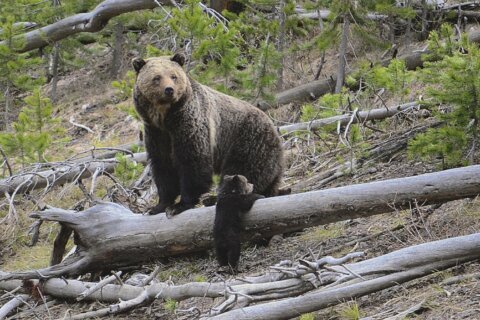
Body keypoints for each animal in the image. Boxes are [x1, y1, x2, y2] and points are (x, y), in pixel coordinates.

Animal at [132, 53, 284, 216]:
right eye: (157, 77)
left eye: (173, 76)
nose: (169, 90)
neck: (165, 117)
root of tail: (276, 131)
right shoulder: (156, 133)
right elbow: (163, 166)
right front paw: (158, 206)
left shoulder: (189, 124)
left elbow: (193, 161)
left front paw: (180, 205)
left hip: (249, 140)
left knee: (242, 171)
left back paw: (214, 198)